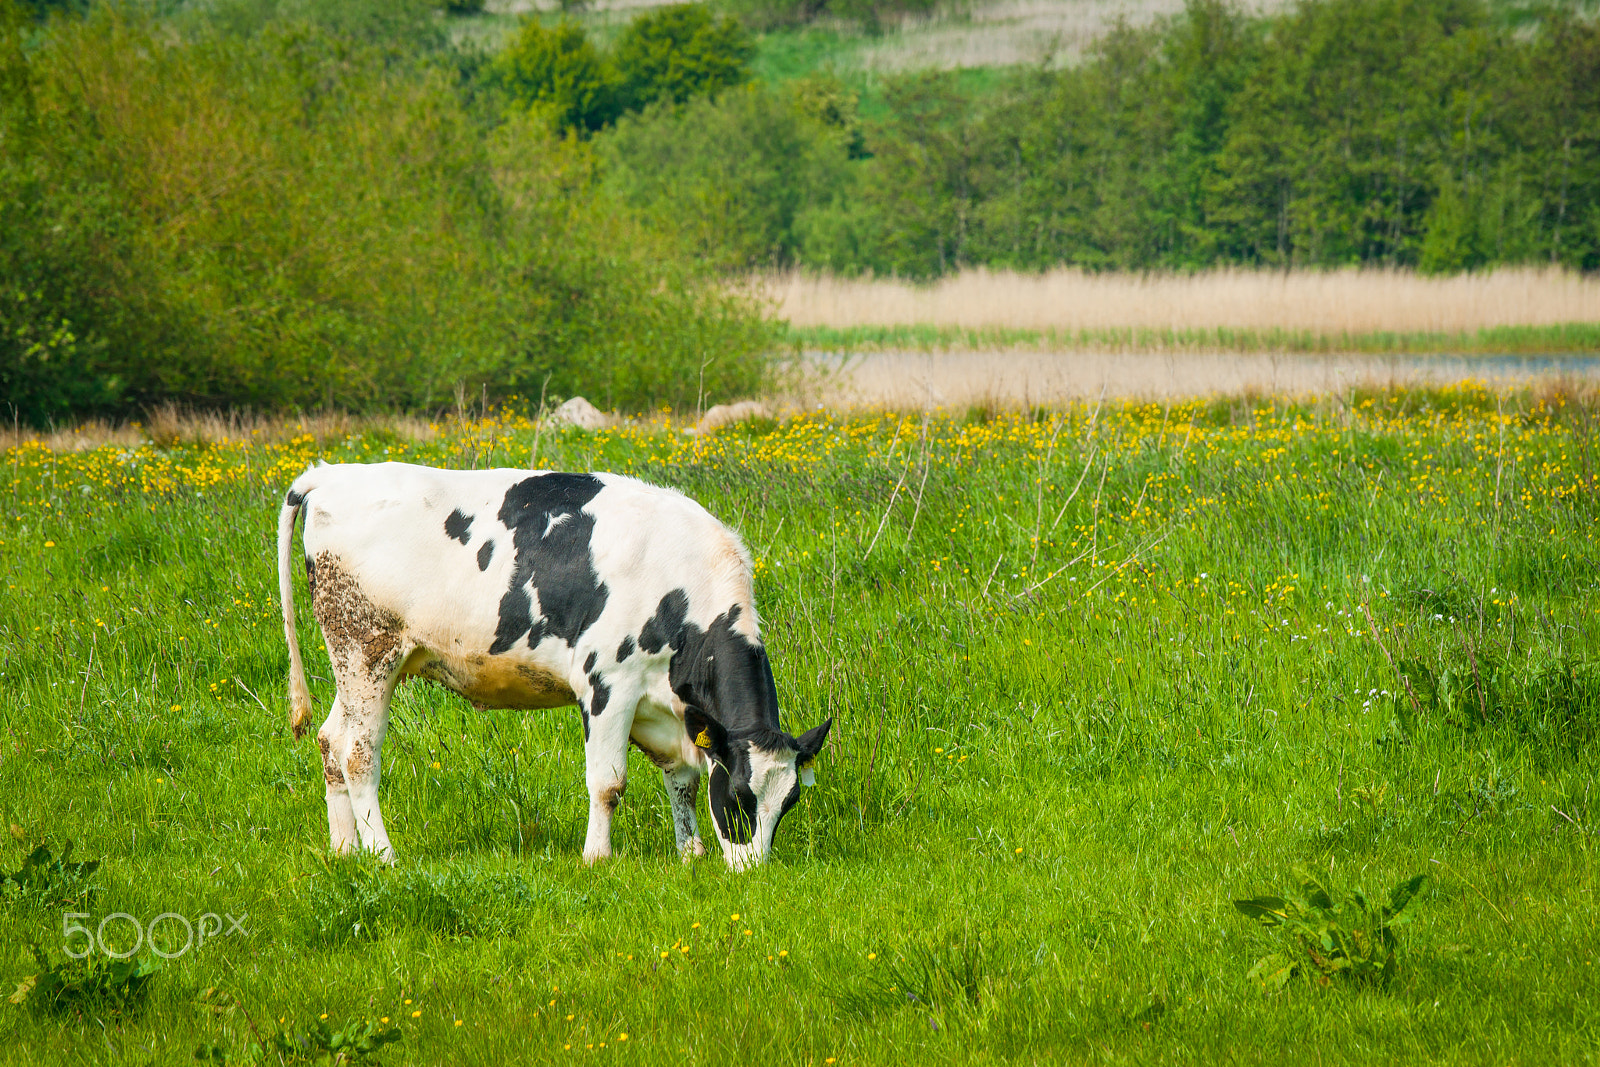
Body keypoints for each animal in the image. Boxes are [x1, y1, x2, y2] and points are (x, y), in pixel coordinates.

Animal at [276, 463, 832, 870]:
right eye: (739, 796)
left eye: (788, 803)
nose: (753, 872)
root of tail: (333, 473)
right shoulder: (607, 683)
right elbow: (608, 783)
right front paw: (597, 858)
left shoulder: (666, 708)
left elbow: (683, 778)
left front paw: (689, 854)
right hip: (367, 650)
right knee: (358, 753)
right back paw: (382, 854)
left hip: (356, 664)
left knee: (329, 739)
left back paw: (345, 850)